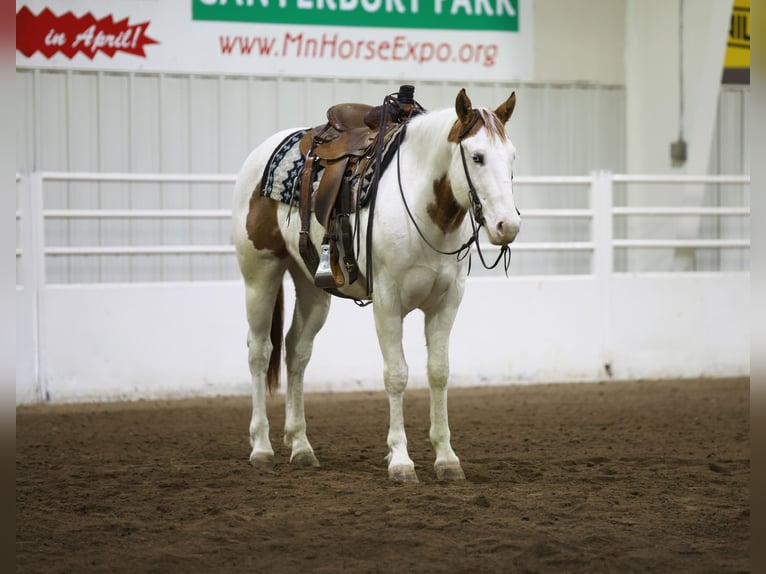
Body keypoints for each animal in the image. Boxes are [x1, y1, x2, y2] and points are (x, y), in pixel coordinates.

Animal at [232, 90, 520, 484]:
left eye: (512, 156)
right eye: (477, 156)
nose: (508, 226)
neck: (423, 209)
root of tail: (262, 152)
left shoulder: (447, 302)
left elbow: (439, 373)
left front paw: (446, 458)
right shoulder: (387, 302)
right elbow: (396, 375)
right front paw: (400, 460)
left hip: (312, 285)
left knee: (296, 352)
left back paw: (301, 446)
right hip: (260, 274)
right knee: (260, 352)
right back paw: (261, 447)